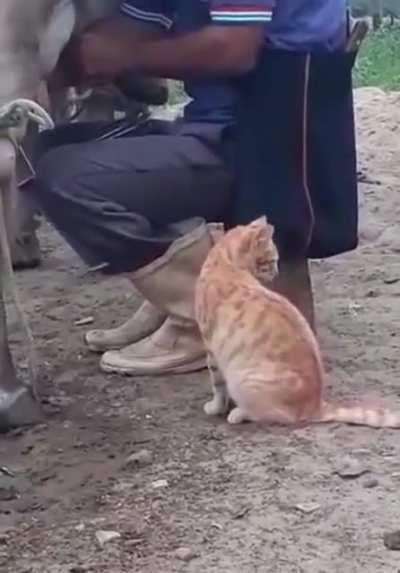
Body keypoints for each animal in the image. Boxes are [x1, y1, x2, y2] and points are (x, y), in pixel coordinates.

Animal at [195, 217, 400, 426]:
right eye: (272, 261)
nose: (276, 272)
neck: (225, 264)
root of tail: (316, 406)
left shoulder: (210, 346)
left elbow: (217, 384)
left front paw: (215, 407)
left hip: (243, 382)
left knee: (272, 415)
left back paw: (239, 414)